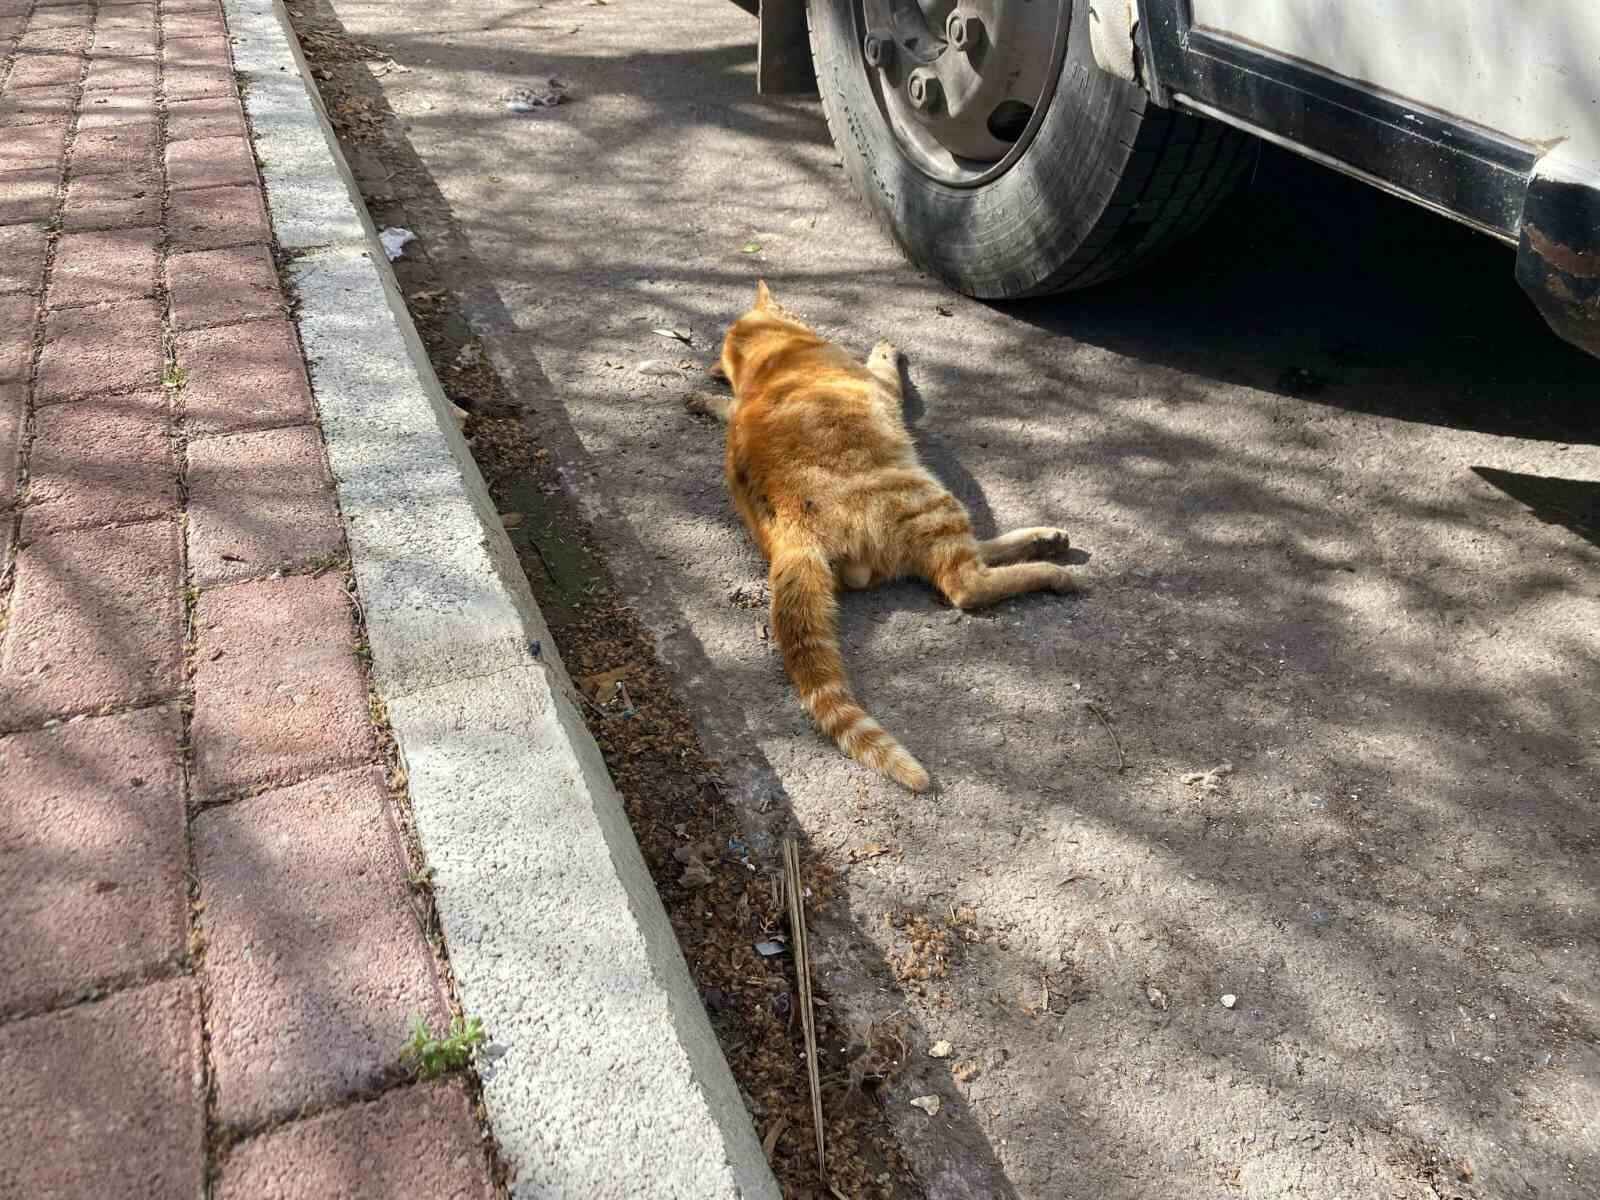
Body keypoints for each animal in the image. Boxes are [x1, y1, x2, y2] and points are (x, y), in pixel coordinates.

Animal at [688, 281, 1075, 790]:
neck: (775, 358)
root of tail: (790, 534)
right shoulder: (880, 385)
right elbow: (885, 370)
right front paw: (885, 352)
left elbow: (726, 406)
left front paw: (707, 401)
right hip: (931, 498)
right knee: (965, 584)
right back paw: (1050, 567)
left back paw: (1043, 540)